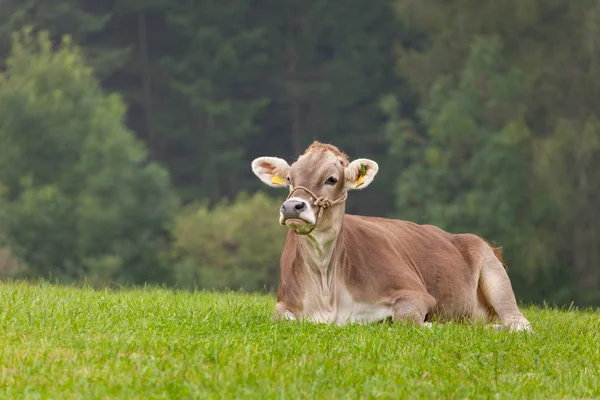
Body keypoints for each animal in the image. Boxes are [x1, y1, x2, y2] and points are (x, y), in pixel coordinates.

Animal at [251, 141, 532, 332]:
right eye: (290, 178)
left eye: (331, 178)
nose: (292, 207)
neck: (325, 285)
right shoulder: (285, 302)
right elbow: (279, 317)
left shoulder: (415, 293)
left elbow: (405, 318)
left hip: (493, 270)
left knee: (518, 322)